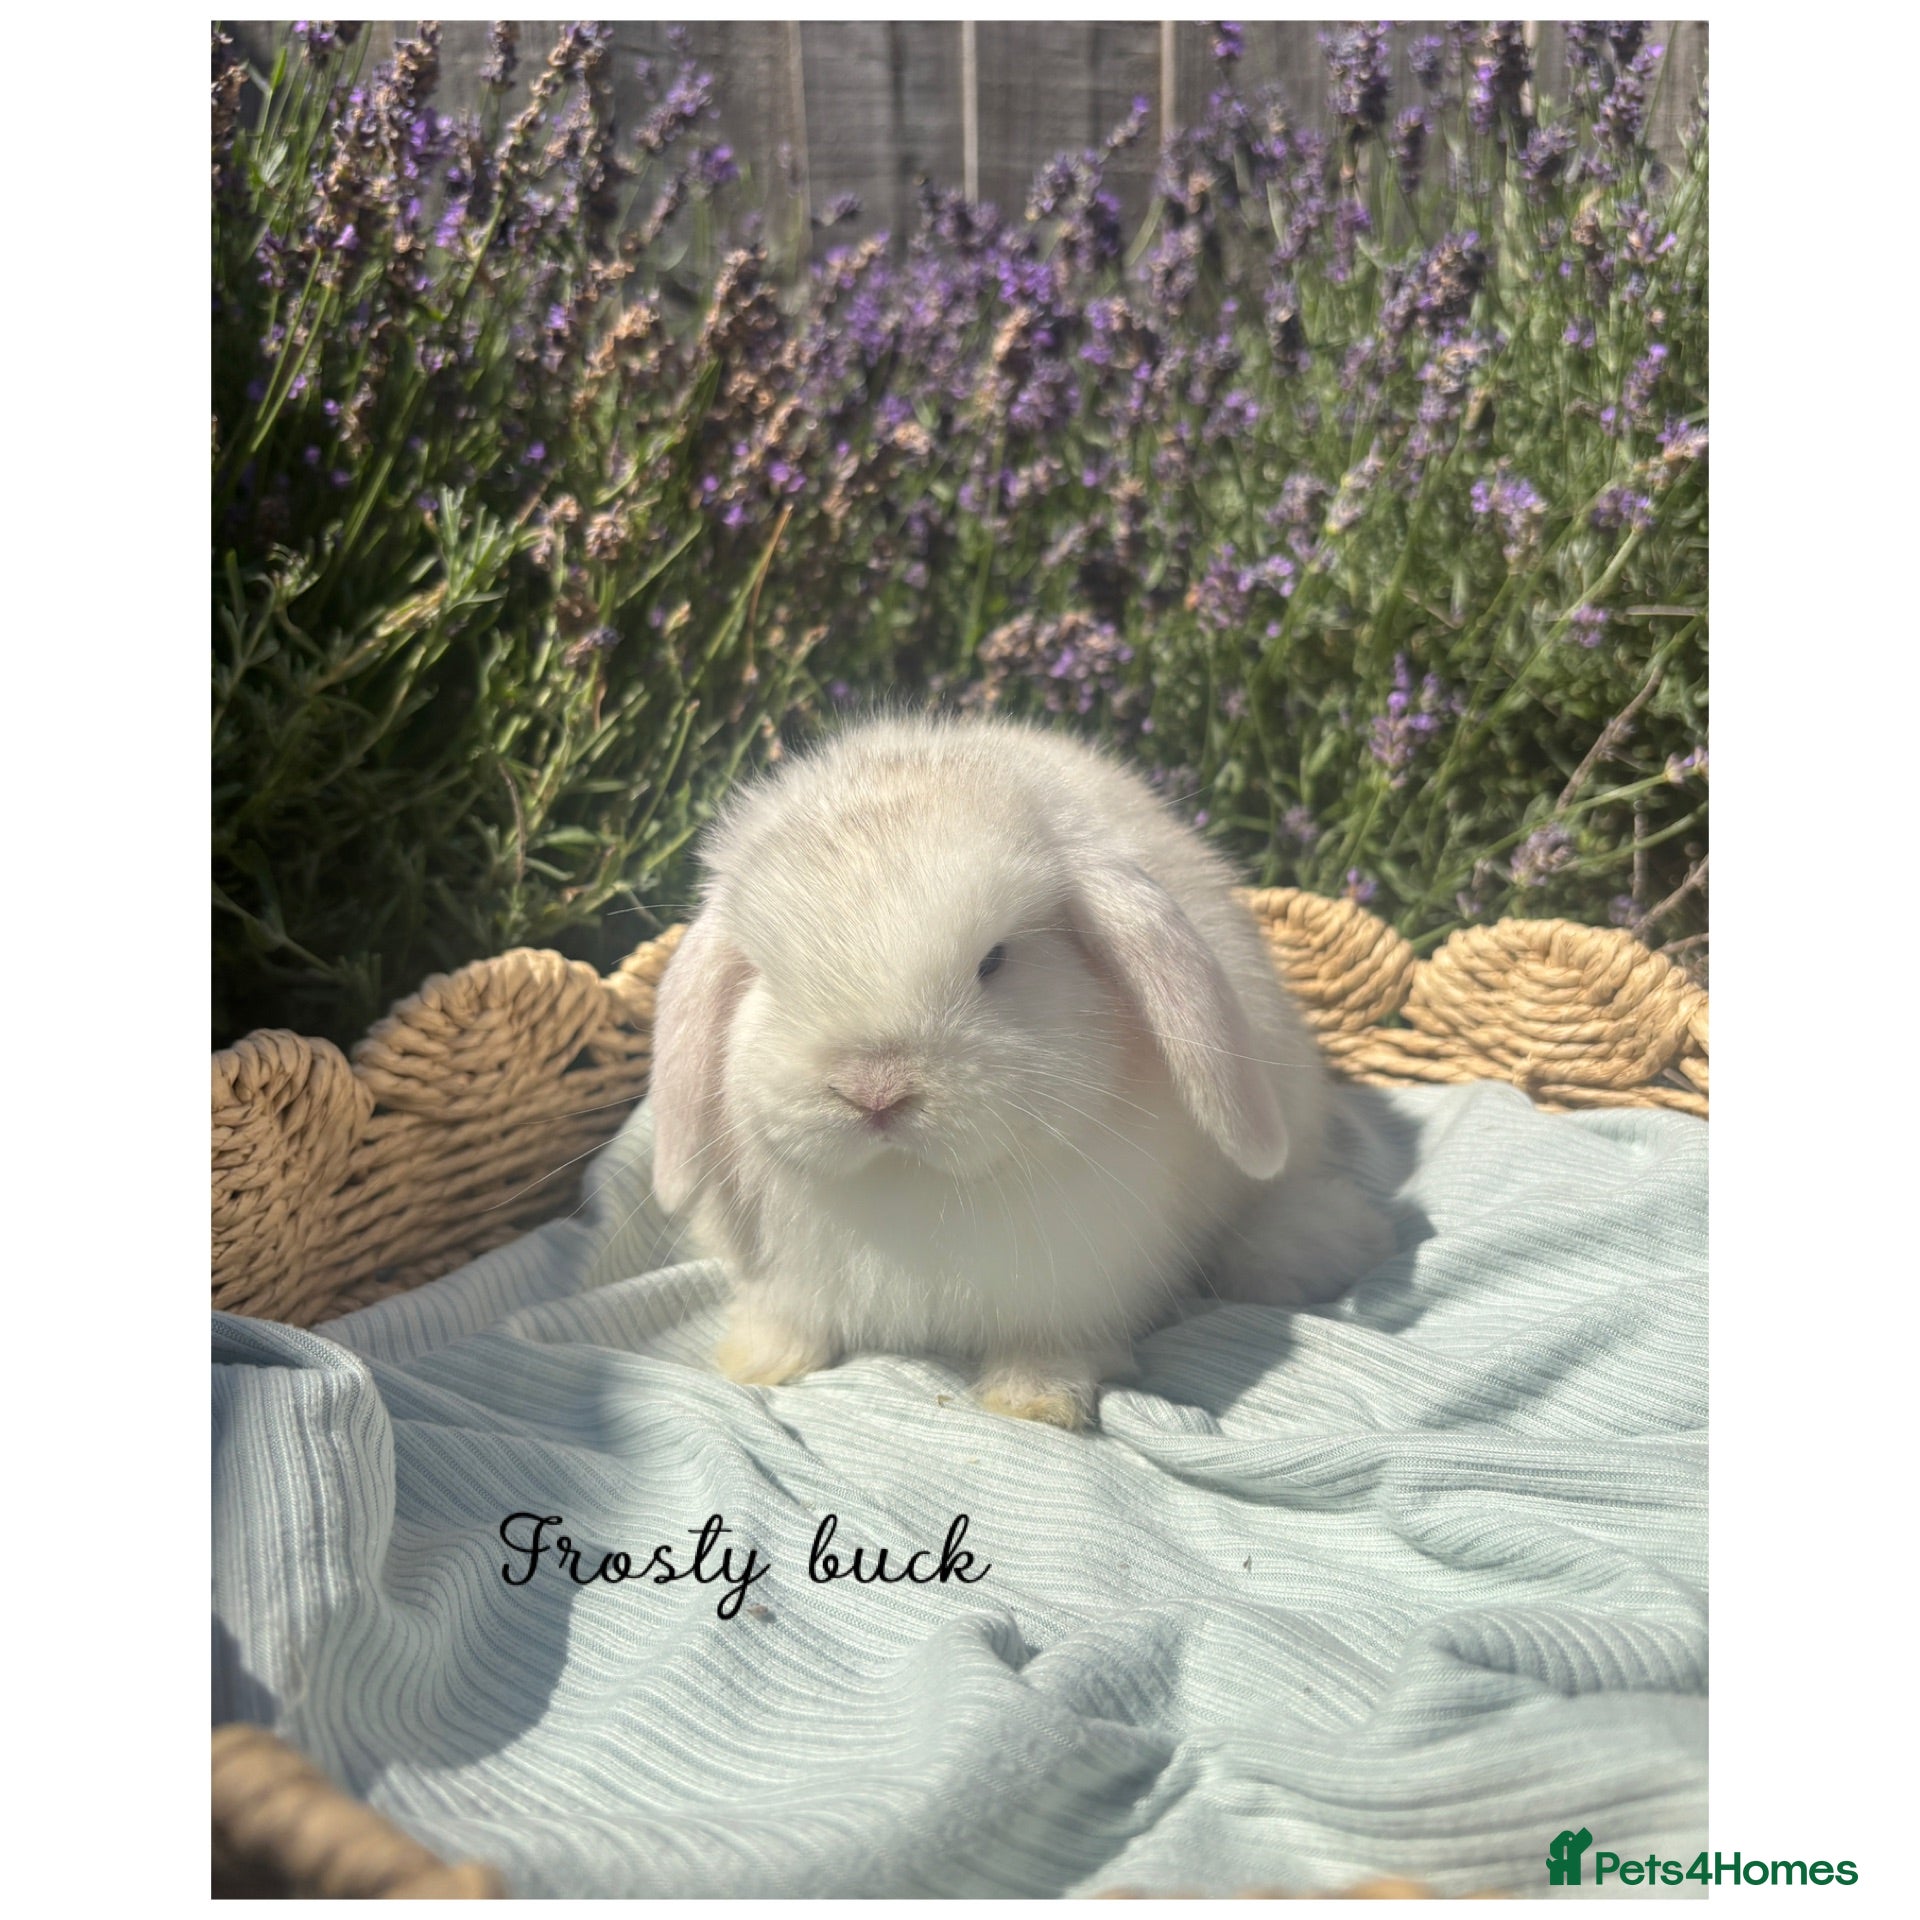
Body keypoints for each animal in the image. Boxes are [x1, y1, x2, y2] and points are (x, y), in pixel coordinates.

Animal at [648, 711, 1393, 1429]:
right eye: (767, 977)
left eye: (996, 960)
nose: (873, 1091)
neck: (909, 1184)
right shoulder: (788, 1283)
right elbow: (788, 1319)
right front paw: (756, 1361)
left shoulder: (1076, 1291)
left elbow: (1052, 1346)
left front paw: (1036, 1400)